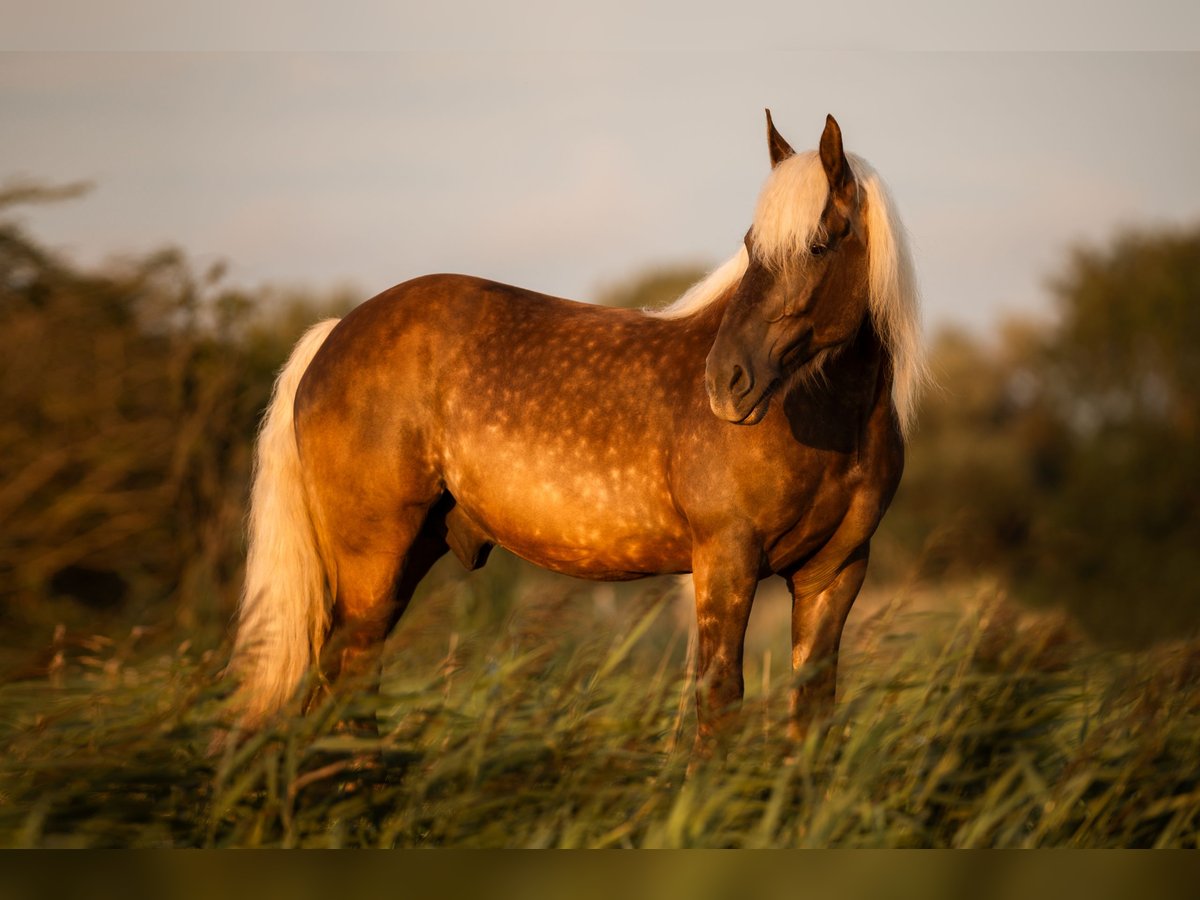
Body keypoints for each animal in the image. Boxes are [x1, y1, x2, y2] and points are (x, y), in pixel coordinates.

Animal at [226, 112, 926, 758]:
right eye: (753, 246)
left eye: (820, 246)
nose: (728, 380)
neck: (829, 419)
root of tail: (335, 332)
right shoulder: (726, 562)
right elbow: (719, 701)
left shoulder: (832, 575)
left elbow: (813, 713)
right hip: (371, 564)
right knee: (344, 691)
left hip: (400, 561)